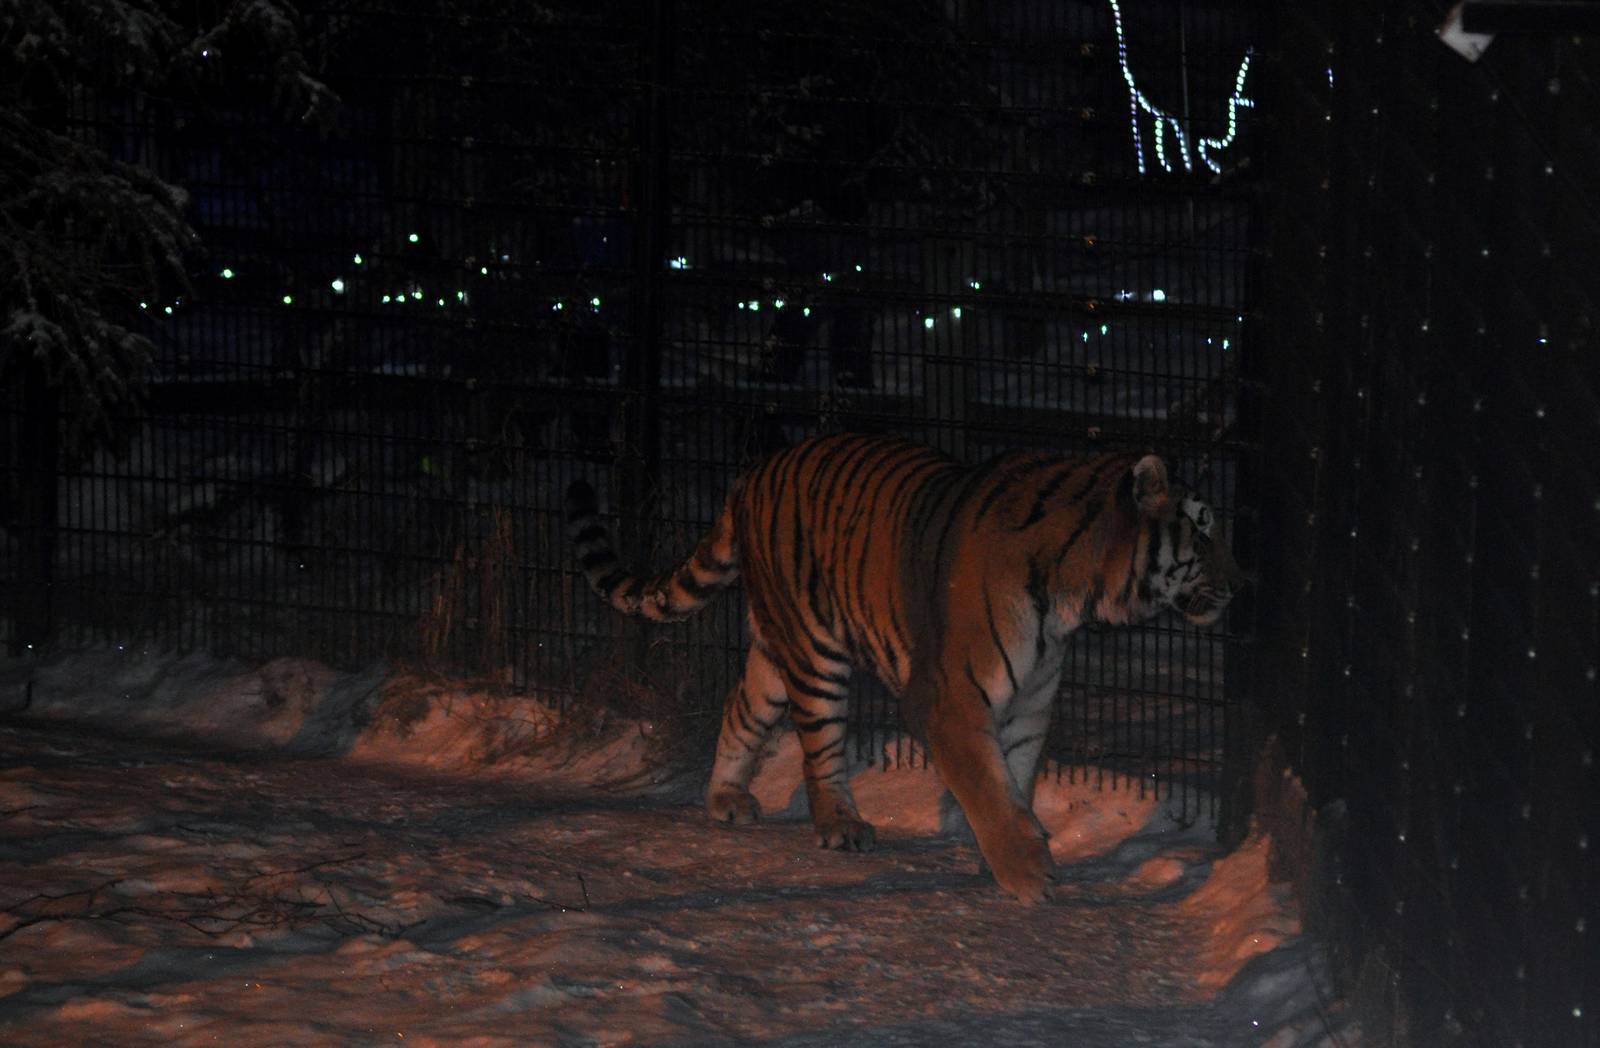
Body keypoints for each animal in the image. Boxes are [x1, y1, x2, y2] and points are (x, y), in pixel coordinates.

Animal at [565, 433, 1242, 903]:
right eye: (1203, 531)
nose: (1241, 584)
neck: (1079, 595)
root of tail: (751, 475)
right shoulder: (950, 699)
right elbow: (988, 785)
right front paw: (1028, 873)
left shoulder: (1029, 705)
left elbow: (1015, 780)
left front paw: (1001, 854)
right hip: (815, 654)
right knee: (821, 754)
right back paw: (841, 825)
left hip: (774, 651)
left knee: (740, 707)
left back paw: (726, 798)